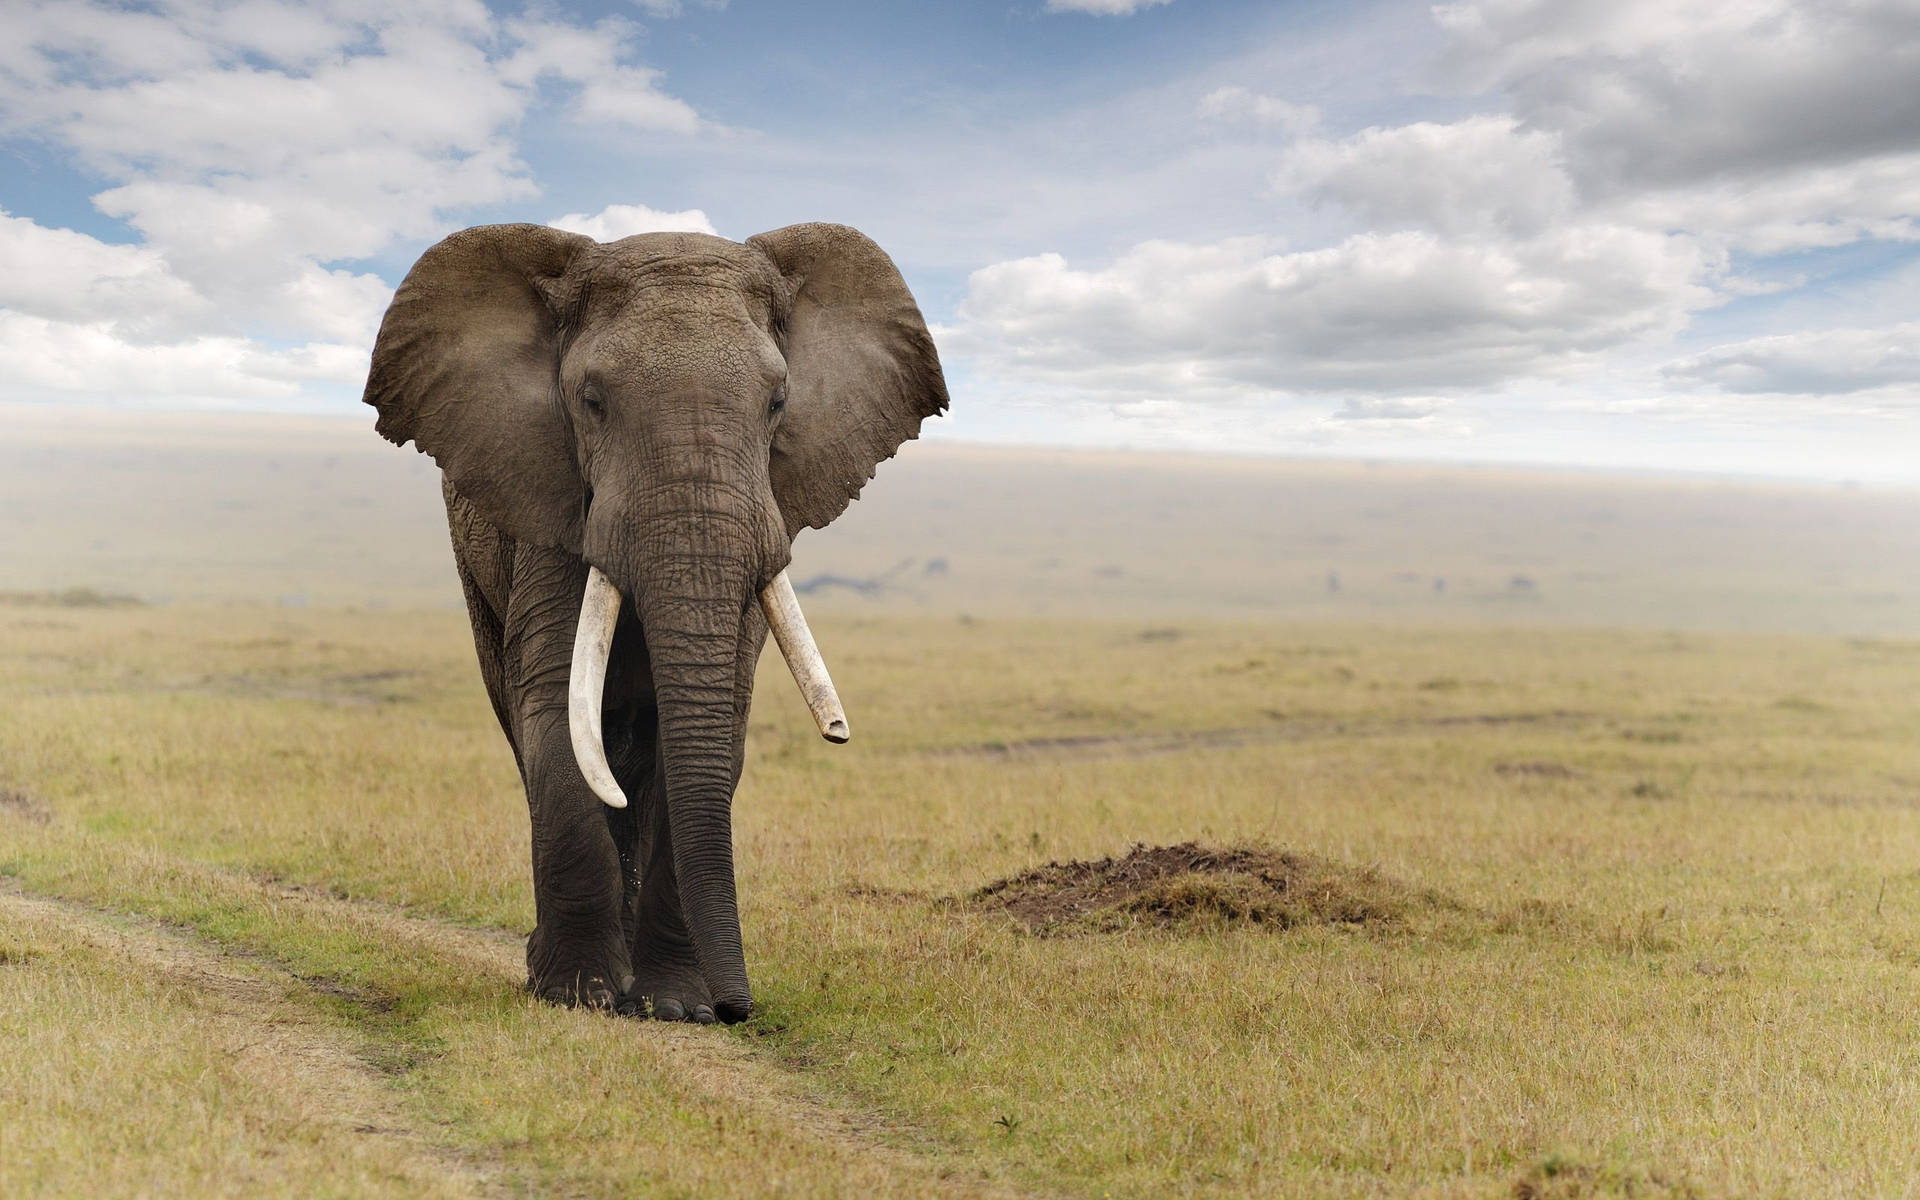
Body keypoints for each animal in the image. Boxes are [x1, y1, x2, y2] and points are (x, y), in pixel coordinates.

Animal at [360, 222, 944, 1021]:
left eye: (778, 402)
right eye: (592, 401)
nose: (740, 1009)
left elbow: (710, 728)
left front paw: (675, 1007)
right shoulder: (550, 502)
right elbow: (557, 712)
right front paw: (578, 995)